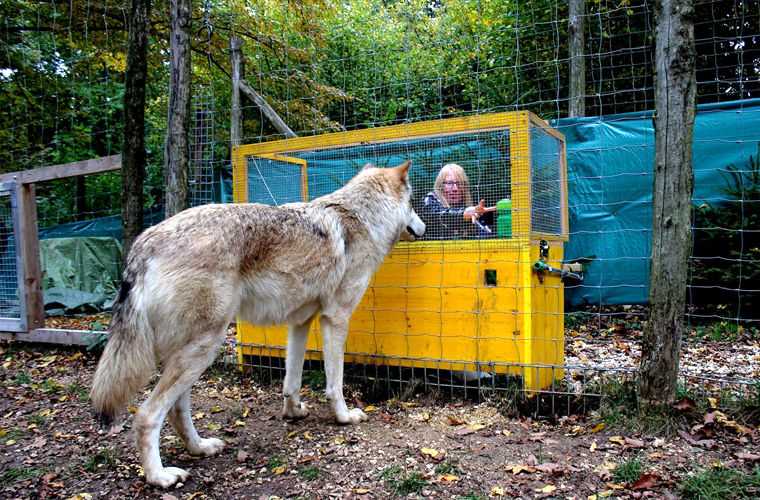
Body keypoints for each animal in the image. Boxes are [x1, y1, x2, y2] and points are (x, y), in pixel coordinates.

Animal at [89, 161, 424, 488]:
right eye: (413, 204)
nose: (422, 227)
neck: (363, 218)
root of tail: (143, 245)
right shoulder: (336, 318)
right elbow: (335, 383)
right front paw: (344, 417)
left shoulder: (300, 322)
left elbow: (292, 380)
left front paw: (293, 412)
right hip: (204, 347)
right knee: (147, 415)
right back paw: (160, 477)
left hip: (191, 354)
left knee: (176, 409)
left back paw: (200, 448)